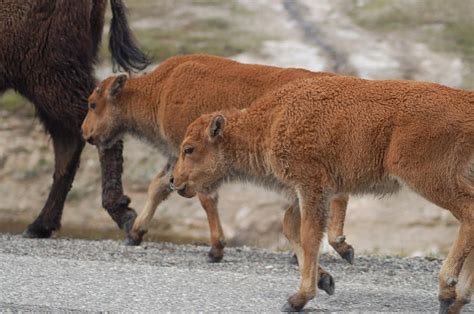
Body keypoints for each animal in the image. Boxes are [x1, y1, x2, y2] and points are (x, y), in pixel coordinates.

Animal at [172, 75, 474, 312]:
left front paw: (298, 298)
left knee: (468, 214)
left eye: (189, 149)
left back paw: (447, 293)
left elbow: (308, 235)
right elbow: (291, 227)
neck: (272, 120)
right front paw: (325, 279)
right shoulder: (307, 191)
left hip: (429, 179)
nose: (174, 181)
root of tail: (466, 102)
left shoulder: (311, 187)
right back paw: (459, 299)